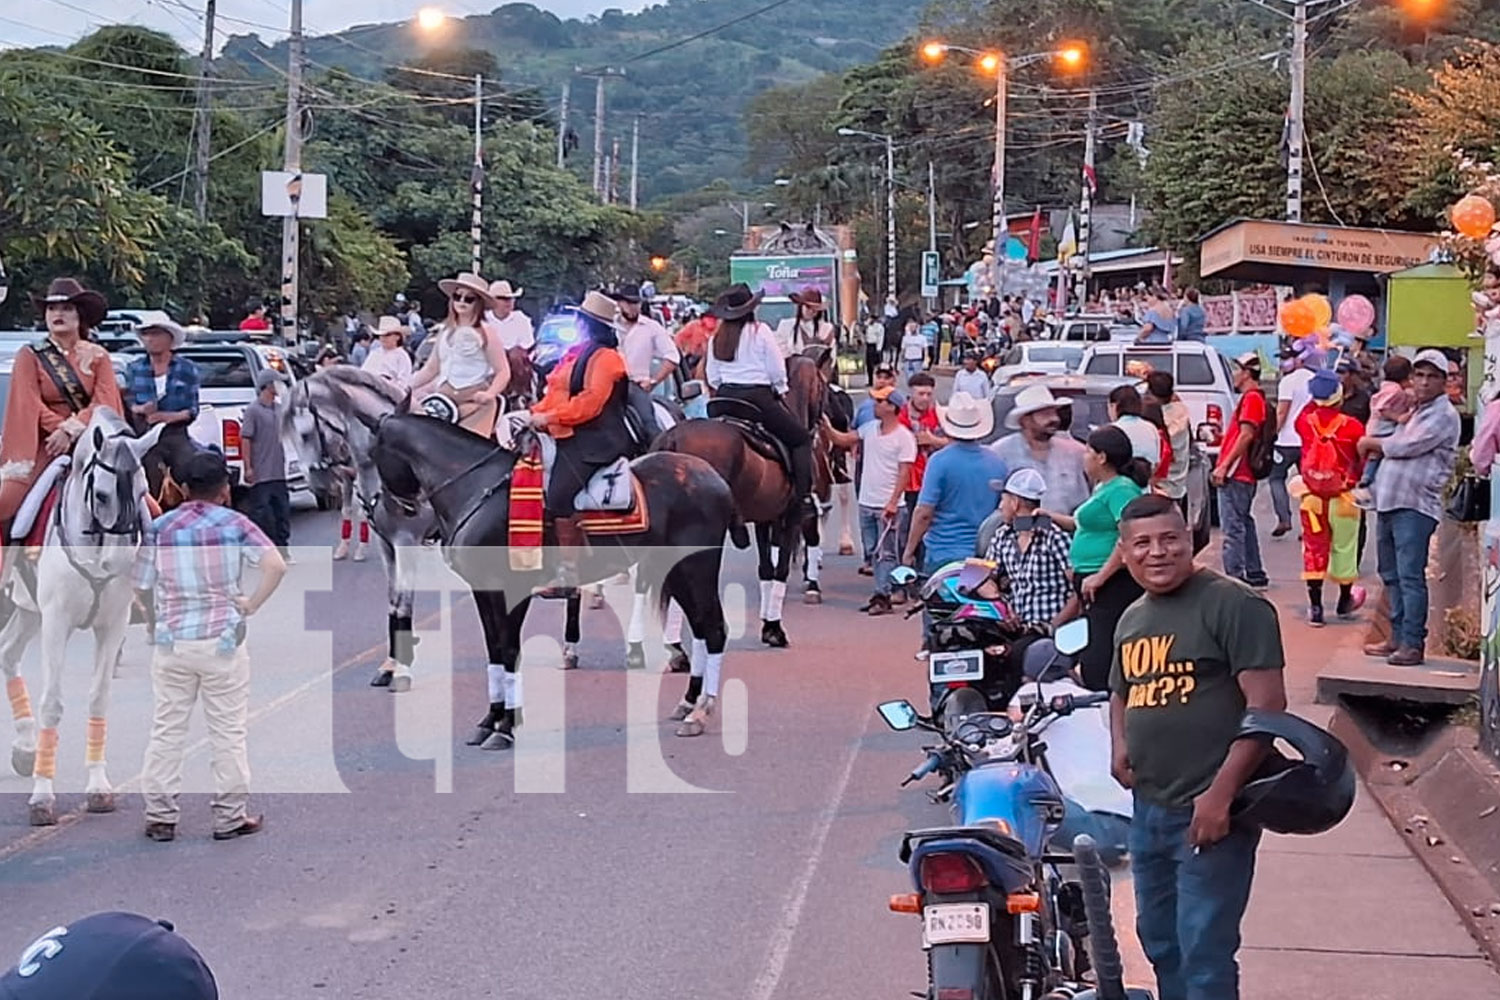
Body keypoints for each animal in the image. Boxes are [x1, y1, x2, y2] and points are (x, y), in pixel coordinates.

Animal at [0, 407, 160, 827]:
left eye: (142, 491)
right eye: (101, 494)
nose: (119, 563)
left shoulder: (113, 624)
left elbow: (99, 699)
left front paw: (99, 788)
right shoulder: (57, 622)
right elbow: (53, 704)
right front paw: (42, 797)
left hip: (28, 611)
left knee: (7, 653)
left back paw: (24, 747)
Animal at [372, 410, 747, 746]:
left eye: (375, 456)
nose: (394, 512)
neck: (477, 489)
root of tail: (714, 477)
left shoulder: (513, 588)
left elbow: (508, 649)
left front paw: (505, 727)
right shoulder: (484, 588)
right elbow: (494, 650)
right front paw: (489, 720)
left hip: (697, 566)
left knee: (714, 629)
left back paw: (701, 711)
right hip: (678, 571)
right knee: (701, 628)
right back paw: (689, 703)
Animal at [651, 352, 828, 650]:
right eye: (824, 386)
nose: (820, 423)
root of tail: (673, 437)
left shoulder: (765, 518)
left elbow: (766, 570)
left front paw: (768, 624)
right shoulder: (790, 517)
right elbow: (780, 570)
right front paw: (774, 629)